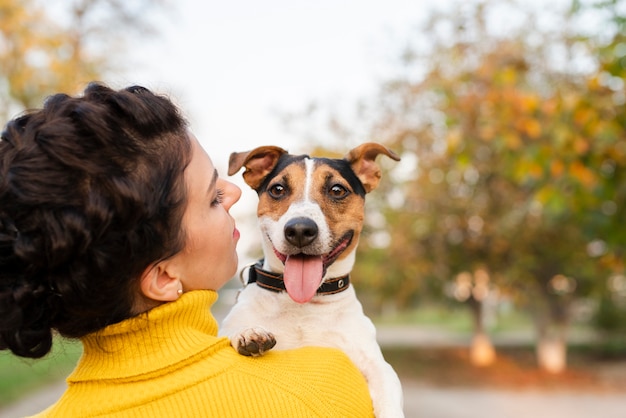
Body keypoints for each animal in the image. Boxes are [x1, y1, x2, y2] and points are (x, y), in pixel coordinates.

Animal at [219, 142, 404, 416]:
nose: (299, 229)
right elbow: (229, 332)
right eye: (277, 189)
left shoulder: (376, 364)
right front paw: (248, 333)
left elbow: (387, 388)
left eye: (337, 190)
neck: (303, 305)